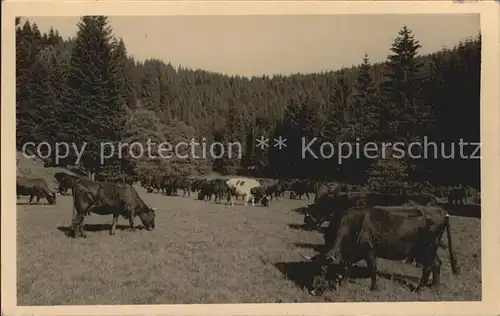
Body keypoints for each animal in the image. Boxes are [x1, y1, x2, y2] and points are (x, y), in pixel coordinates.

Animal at [302, 205, 458, 296]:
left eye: (323, 271)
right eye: (315, 269)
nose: (313, 291)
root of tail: (442, 211)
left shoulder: (369, 250)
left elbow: (372, 268)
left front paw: (374, 288)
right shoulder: (351, 253)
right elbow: (347, 267)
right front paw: (344, 282)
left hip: (426, 248)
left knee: (428, 267)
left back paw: (418, 289)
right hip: (431, 248)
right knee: (437, 263)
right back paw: (434, 287)